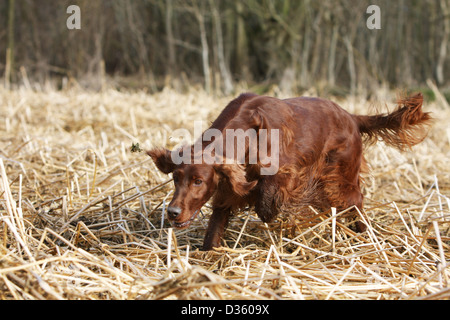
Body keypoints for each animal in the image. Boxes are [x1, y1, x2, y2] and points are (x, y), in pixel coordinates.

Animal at [147, 92, 428, 250]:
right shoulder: (225, 193)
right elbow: (214, 230)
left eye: (198, 181)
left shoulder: (286, 176)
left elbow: (267, 202)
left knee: (356, 201)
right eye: (175, 179)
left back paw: (364, 235)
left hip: (340, 179)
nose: (172, 212)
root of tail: (351, 116)